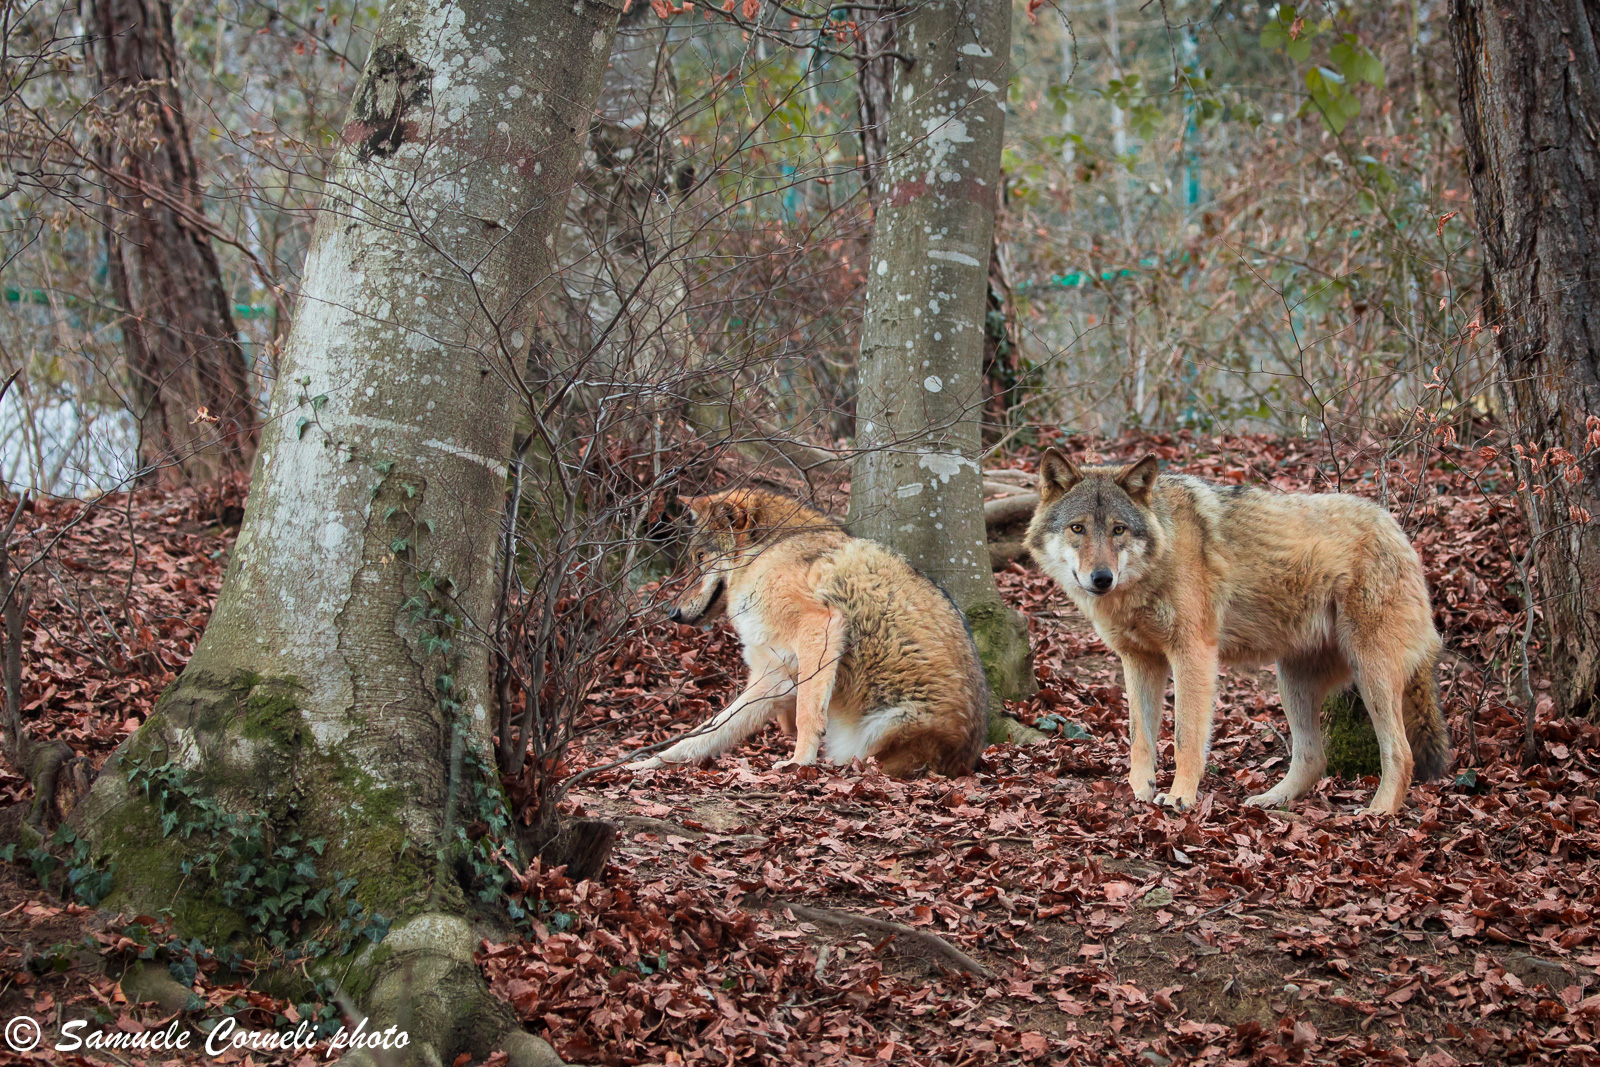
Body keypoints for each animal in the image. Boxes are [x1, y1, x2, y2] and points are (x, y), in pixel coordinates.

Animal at [625, 488, 989, 778]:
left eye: (700, 558)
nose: (672, 613)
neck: (768, 550)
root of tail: (964, 763)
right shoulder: (772, 677)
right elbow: (703, 734)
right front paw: (643, 764)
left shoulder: (819, 625)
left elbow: (806, 715)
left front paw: (797, 764)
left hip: (887, 721)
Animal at [1024, 450, 1450, 815]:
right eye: (1077, 528)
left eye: (1118, 530)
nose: (1101, 578)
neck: (1160, 558)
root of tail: (1399, 532)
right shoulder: (1140, 659)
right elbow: (1140, 737)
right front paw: (1139, 790)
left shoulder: (1193, 654)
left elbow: (1185, 738)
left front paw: (1179, 797)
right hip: (1292, 682)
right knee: (1313, 758)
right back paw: (1270, 800)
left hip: (1370, 674)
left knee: (1401, 753)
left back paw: (1378, 814)